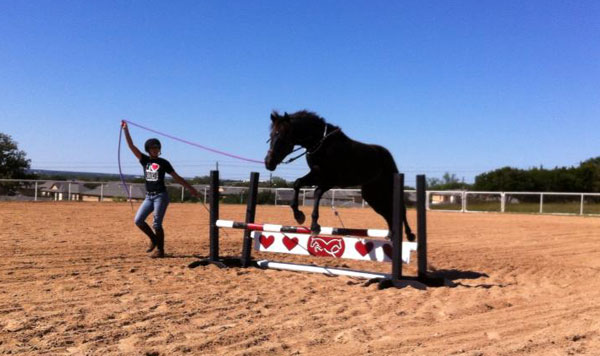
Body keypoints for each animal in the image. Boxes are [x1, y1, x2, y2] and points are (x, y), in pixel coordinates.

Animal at [264, 110, 414, 241]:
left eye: (282, 136)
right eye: (271, 136)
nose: (268, 163)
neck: (321, 144)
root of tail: (387, 155)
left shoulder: (330, 180)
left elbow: (317, 192)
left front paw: (314, 226)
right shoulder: (316, 174)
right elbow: (297, 183)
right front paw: (299, 216)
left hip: (387, 189)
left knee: (400, 210)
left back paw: (410, 235)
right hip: (372, 194)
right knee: (388, 213)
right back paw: (390, 235)